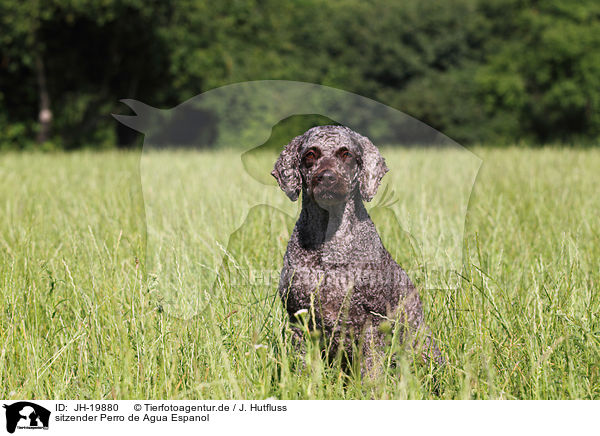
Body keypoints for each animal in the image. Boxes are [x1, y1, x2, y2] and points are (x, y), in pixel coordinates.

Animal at [272, 125, 440, 374]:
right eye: (310, 155)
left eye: (346, 154)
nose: (327, 178)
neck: (329, 241)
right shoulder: (299, 321)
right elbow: (303, 367)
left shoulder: (371, 324)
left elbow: (371, 370)